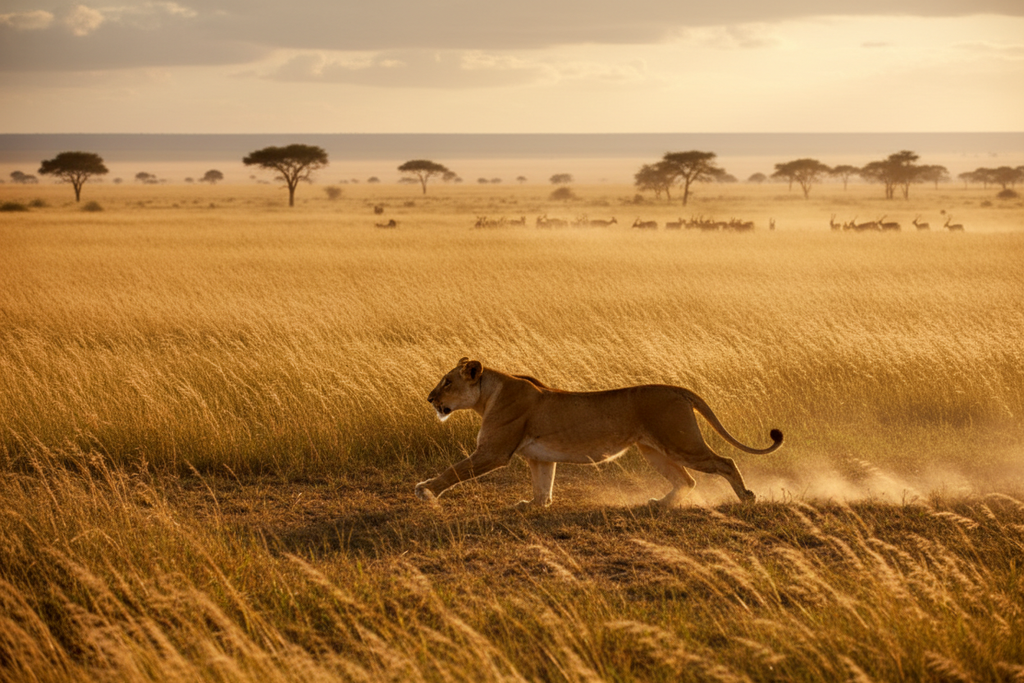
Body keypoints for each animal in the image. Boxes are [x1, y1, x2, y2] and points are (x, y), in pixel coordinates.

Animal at [415, 357, 783, 508]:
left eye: (447, 382)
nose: (430, 398)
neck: (488, 395)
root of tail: (678, 389)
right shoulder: (539, 459)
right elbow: (543, 487)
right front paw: (533, 505)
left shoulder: (493, 452)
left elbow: (453, 472)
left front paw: (425, 490)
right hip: (654, 450)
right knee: (687, 480)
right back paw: (659, 504)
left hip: (681, 442)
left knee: (725, 462)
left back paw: (747, 497)